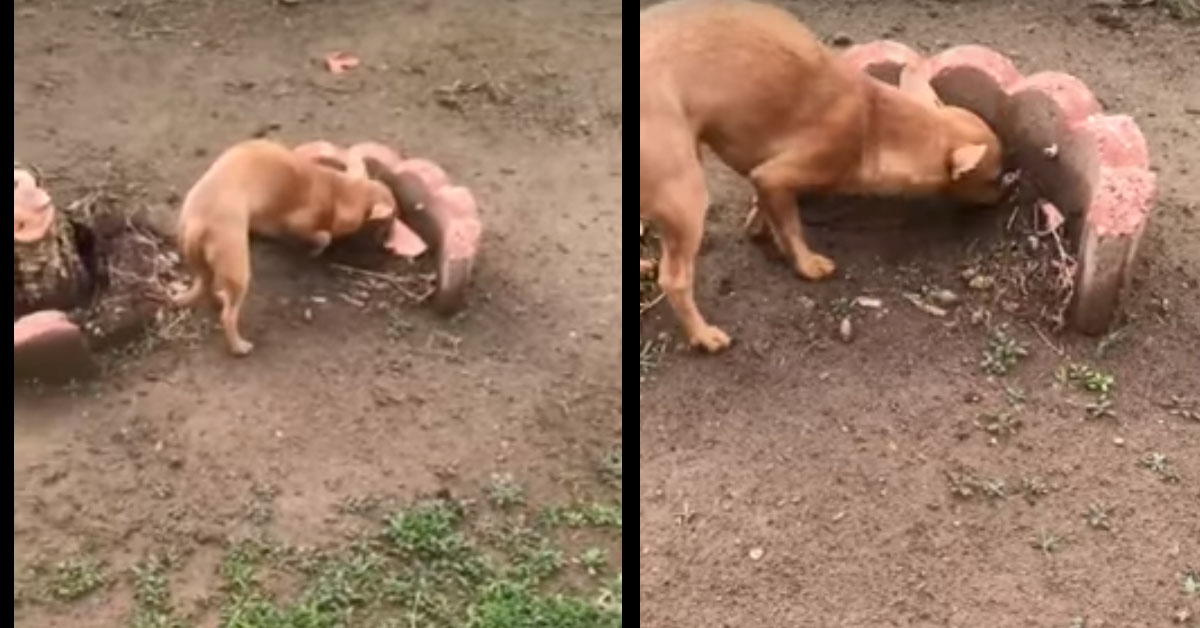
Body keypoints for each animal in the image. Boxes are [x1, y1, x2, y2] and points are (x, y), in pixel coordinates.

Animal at [174, 138, 393, 353]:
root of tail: (197, 224)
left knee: (209, 286)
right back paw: (239, 346)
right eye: (390, 218)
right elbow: (323, 237)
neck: (339, 190)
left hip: (202, 262)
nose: (387, 242)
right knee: (228, 316)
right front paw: (316, 249)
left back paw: (218, 299)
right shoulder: (297, 223)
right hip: (237, 268)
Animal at [643, 1, 1008, 353]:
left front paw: (758, 227)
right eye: (994, 177)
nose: (1005, 193)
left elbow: (766, 211)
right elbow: (791, 229)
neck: (877, 122)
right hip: (687, 197)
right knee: (674, 279)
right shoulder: (776, 177)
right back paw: (702, 335)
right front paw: (806, 264)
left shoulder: (763, 177)